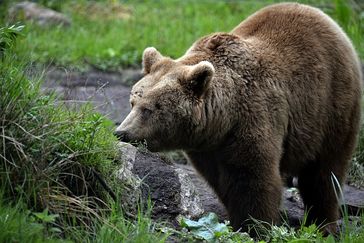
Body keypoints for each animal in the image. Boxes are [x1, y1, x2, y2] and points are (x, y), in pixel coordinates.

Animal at [115, 2, 362, 234]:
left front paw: (255, 225)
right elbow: (221, 182)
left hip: (331, 105)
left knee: (324, 174)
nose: (122, 132)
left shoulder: (253, 116)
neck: (222, 119)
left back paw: (323, 223)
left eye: (149, 109)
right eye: (133, 101)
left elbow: (253, 179)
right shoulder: (207, 148)